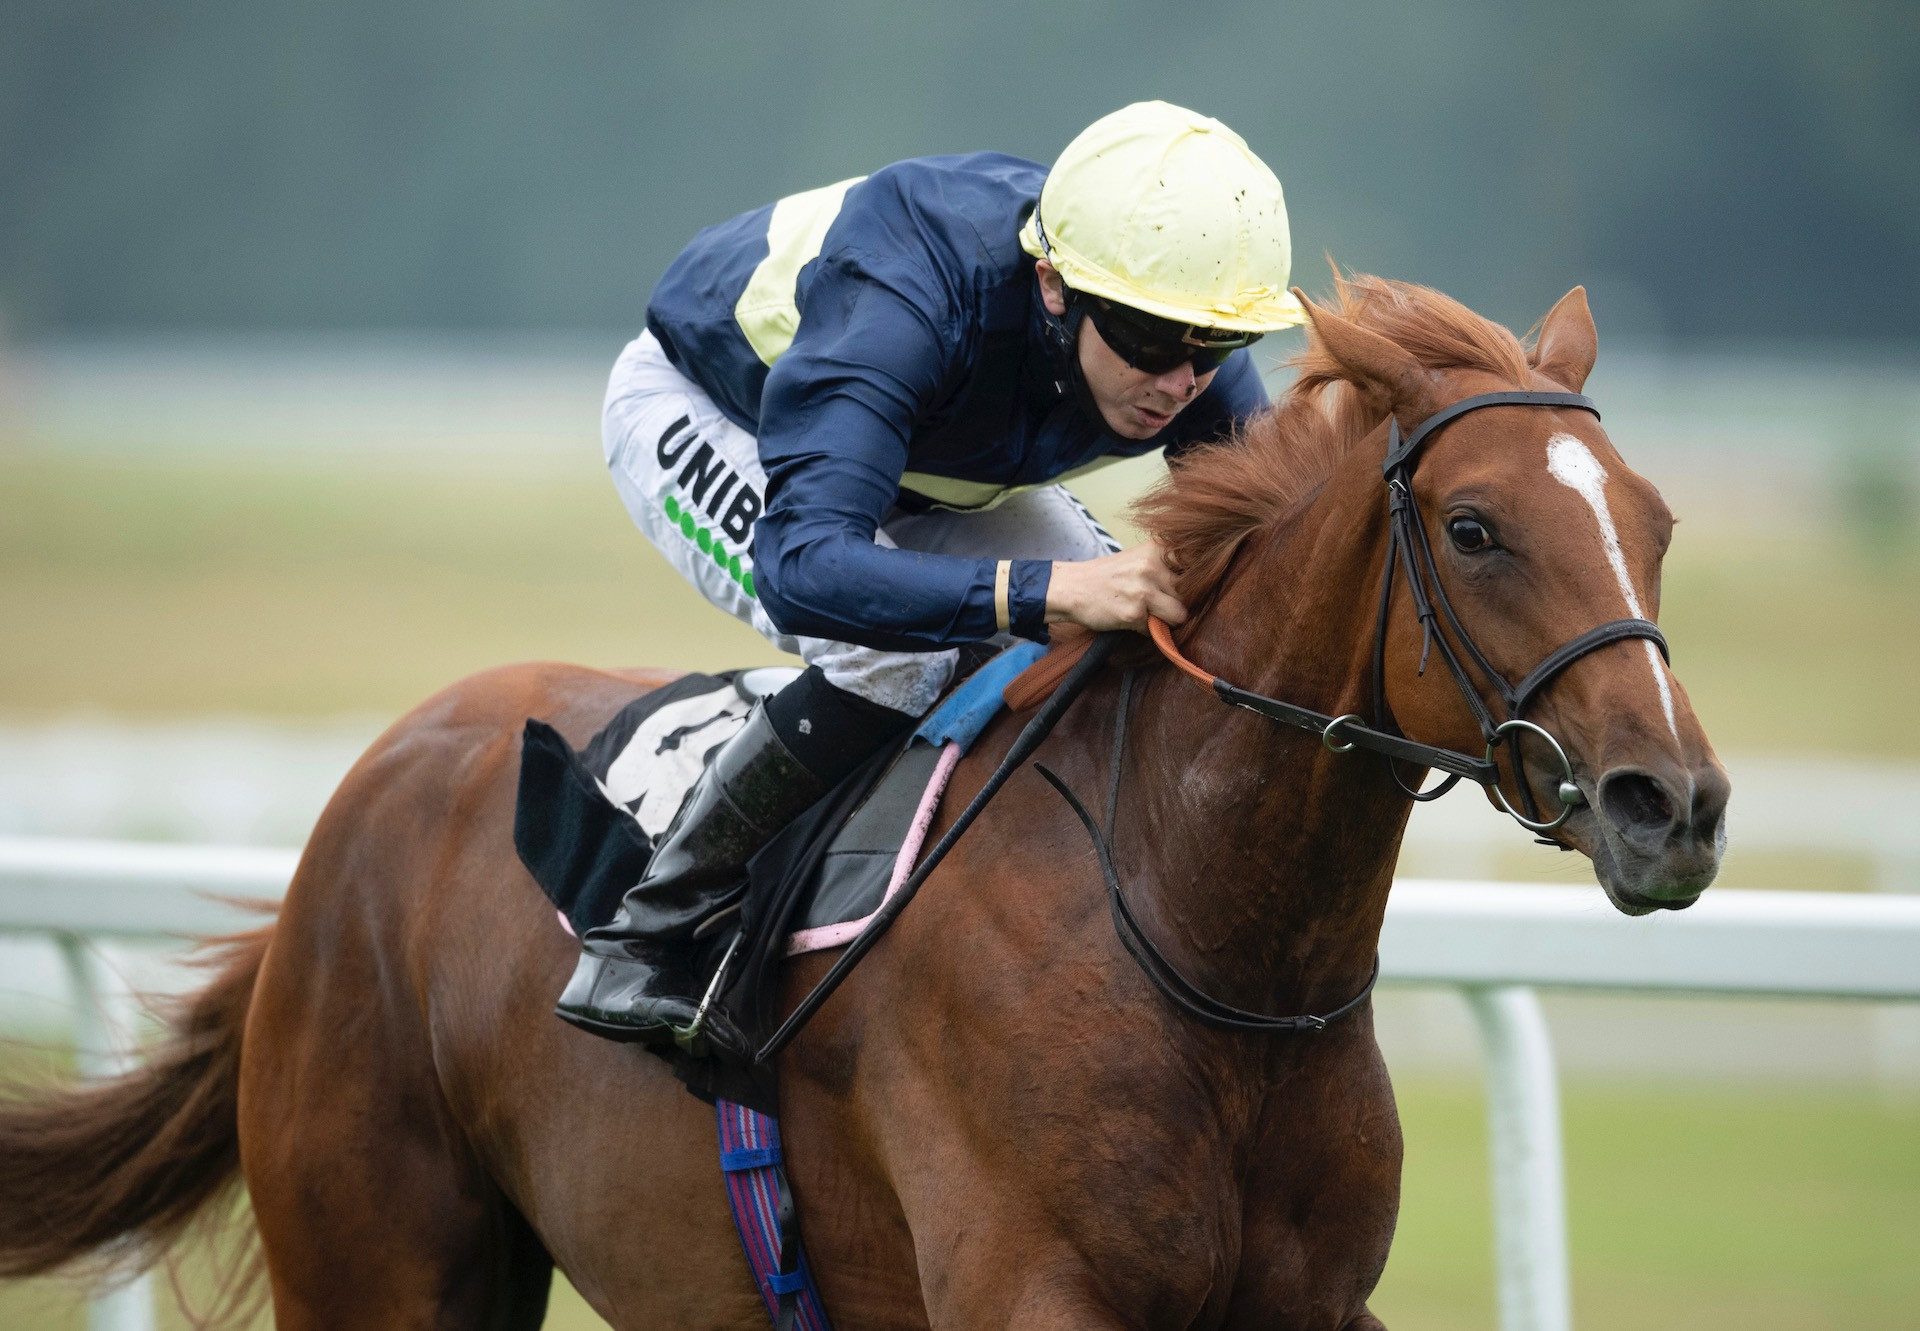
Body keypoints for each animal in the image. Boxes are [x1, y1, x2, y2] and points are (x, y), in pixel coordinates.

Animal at [0, 274, 1735, 1321]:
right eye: (1474, 527)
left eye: (1653, 520)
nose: (1675, 802)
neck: (1204, 933)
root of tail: (379, 774)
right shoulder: (1026, 1290)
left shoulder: (1307, 1299)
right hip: (378, 1259)